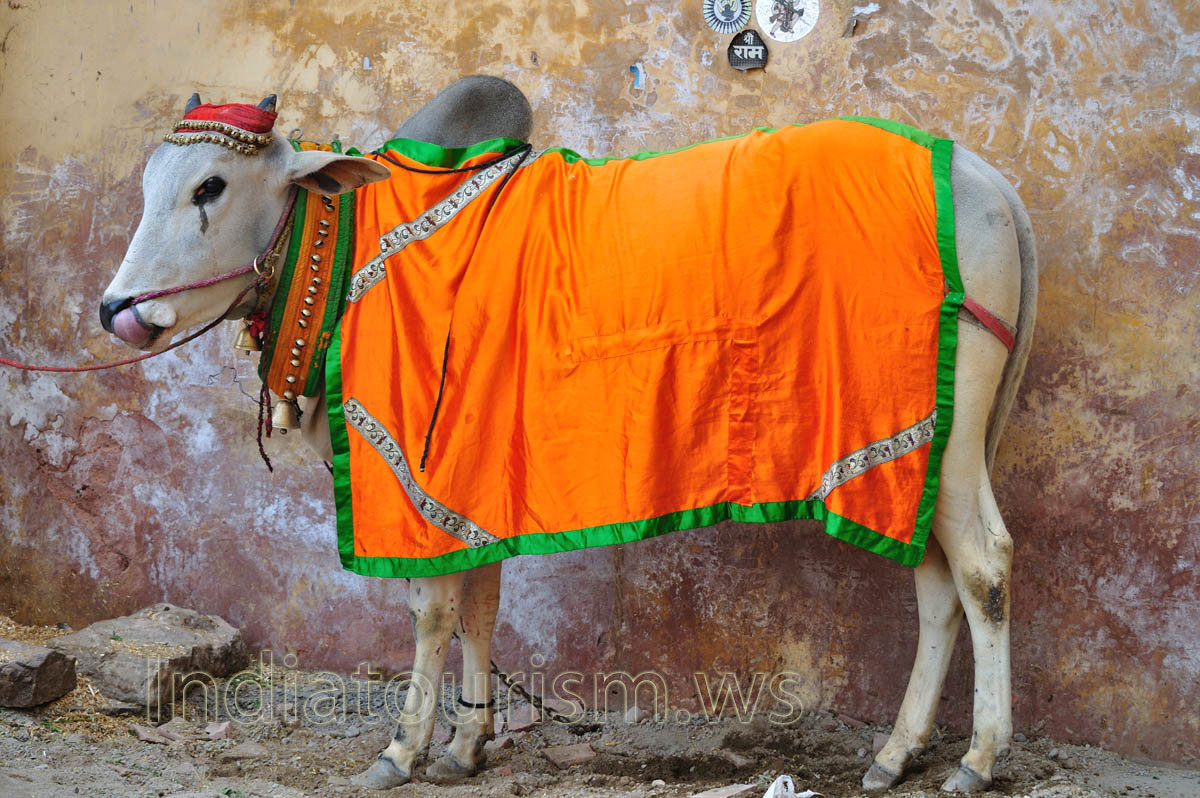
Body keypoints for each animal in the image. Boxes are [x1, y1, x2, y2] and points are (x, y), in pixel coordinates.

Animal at [100, 76, 1037, 793]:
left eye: (210, 187)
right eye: (146, 185)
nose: (118, 311)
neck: (349, 246)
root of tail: (984, 175)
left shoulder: (415, 477)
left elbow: (432, 610)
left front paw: (402, 750)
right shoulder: (469, 484)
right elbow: (480, 605)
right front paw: (465, 745)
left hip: (945, 443)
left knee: (983, 567)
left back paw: (978, 757)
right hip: (914, 456)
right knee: (936, 585)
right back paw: (897, 753)